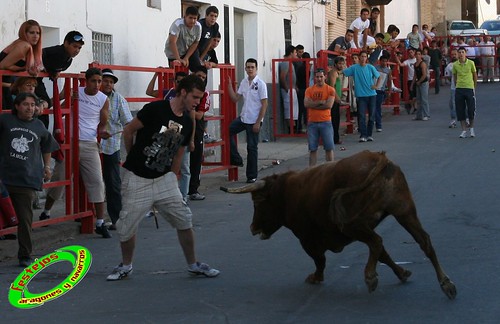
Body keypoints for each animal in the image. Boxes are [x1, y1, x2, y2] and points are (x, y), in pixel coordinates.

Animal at [223, 151, 458, 300]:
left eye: (257, 201)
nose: (252, 228)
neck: (287, 192)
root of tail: (378, 158)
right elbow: (384, 255)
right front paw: (402, 273)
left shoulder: (307, 239)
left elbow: (320, 260)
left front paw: (316, 277)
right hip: (404, 211)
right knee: (423, 242)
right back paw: (447, 284)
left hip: (353, 223)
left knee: (377, 241)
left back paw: (370, 277)